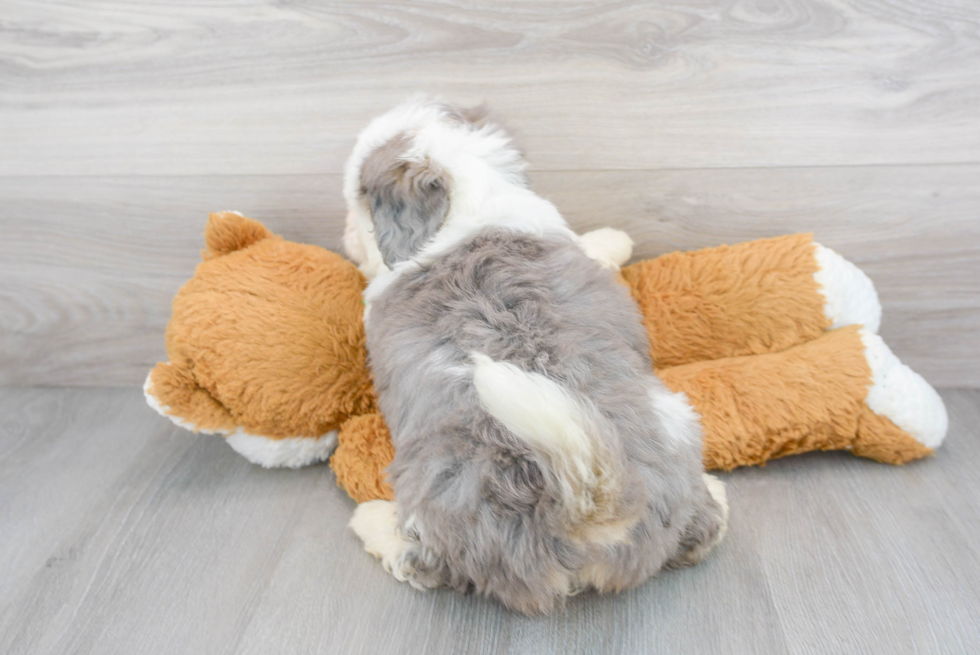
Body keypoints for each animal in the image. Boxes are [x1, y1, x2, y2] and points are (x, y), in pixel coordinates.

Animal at [344, 96, 728, 616]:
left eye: (357, 200)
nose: (345, 235)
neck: (469, 202)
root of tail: (584, 509)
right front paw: (615, 239)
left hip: (434, 499)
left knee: (424, 564)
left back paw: (371, 520)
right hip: (678, 419)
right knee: (704, 532)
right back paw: (717, 495)